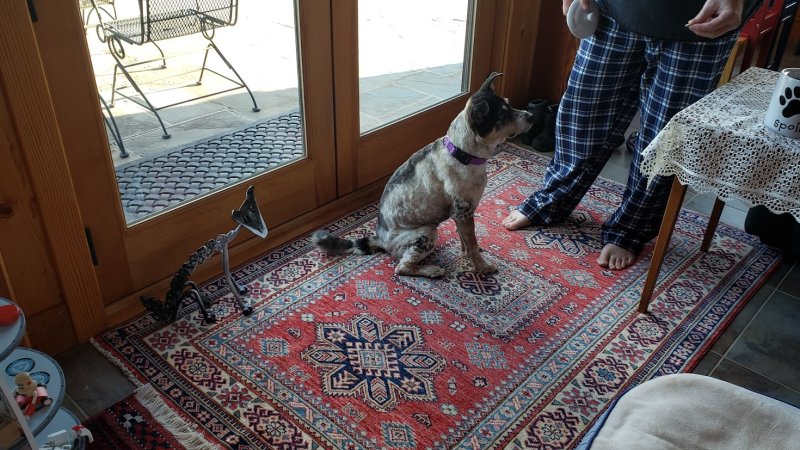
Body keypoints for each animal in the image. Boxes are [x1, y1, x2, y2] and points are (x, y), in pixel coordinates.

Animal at [313, 72, 534, 277]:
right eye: (502, 117)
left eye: (509, 104)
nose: (531, 116)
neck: (463, 153)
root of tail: (380, 239)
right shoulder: (462, 212)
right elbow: (471, 244)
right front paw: (482, 267)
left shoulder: (462, 214)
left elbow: (466, 239)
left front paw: (468, 253)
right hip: (426, 232)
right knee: (402, 268)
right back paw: (431, 270)